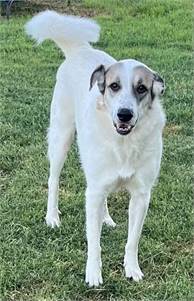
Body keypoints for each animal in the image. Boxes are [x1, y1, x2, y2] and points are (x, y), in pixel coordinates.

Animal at [25, 11, 166, 286]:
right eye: (114, 86)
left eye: (141, 88)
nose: (124, 114)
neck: (124, 143)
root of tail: (81, 50)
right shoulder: (93, 192)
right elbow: (94, 242)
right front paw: (93, 274)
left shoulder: (141, 195)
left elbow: (133, 241)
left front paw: (132, 269)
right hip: (62, 137)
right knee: (53, 180)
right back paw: (52, 217)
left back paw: (106, 218)